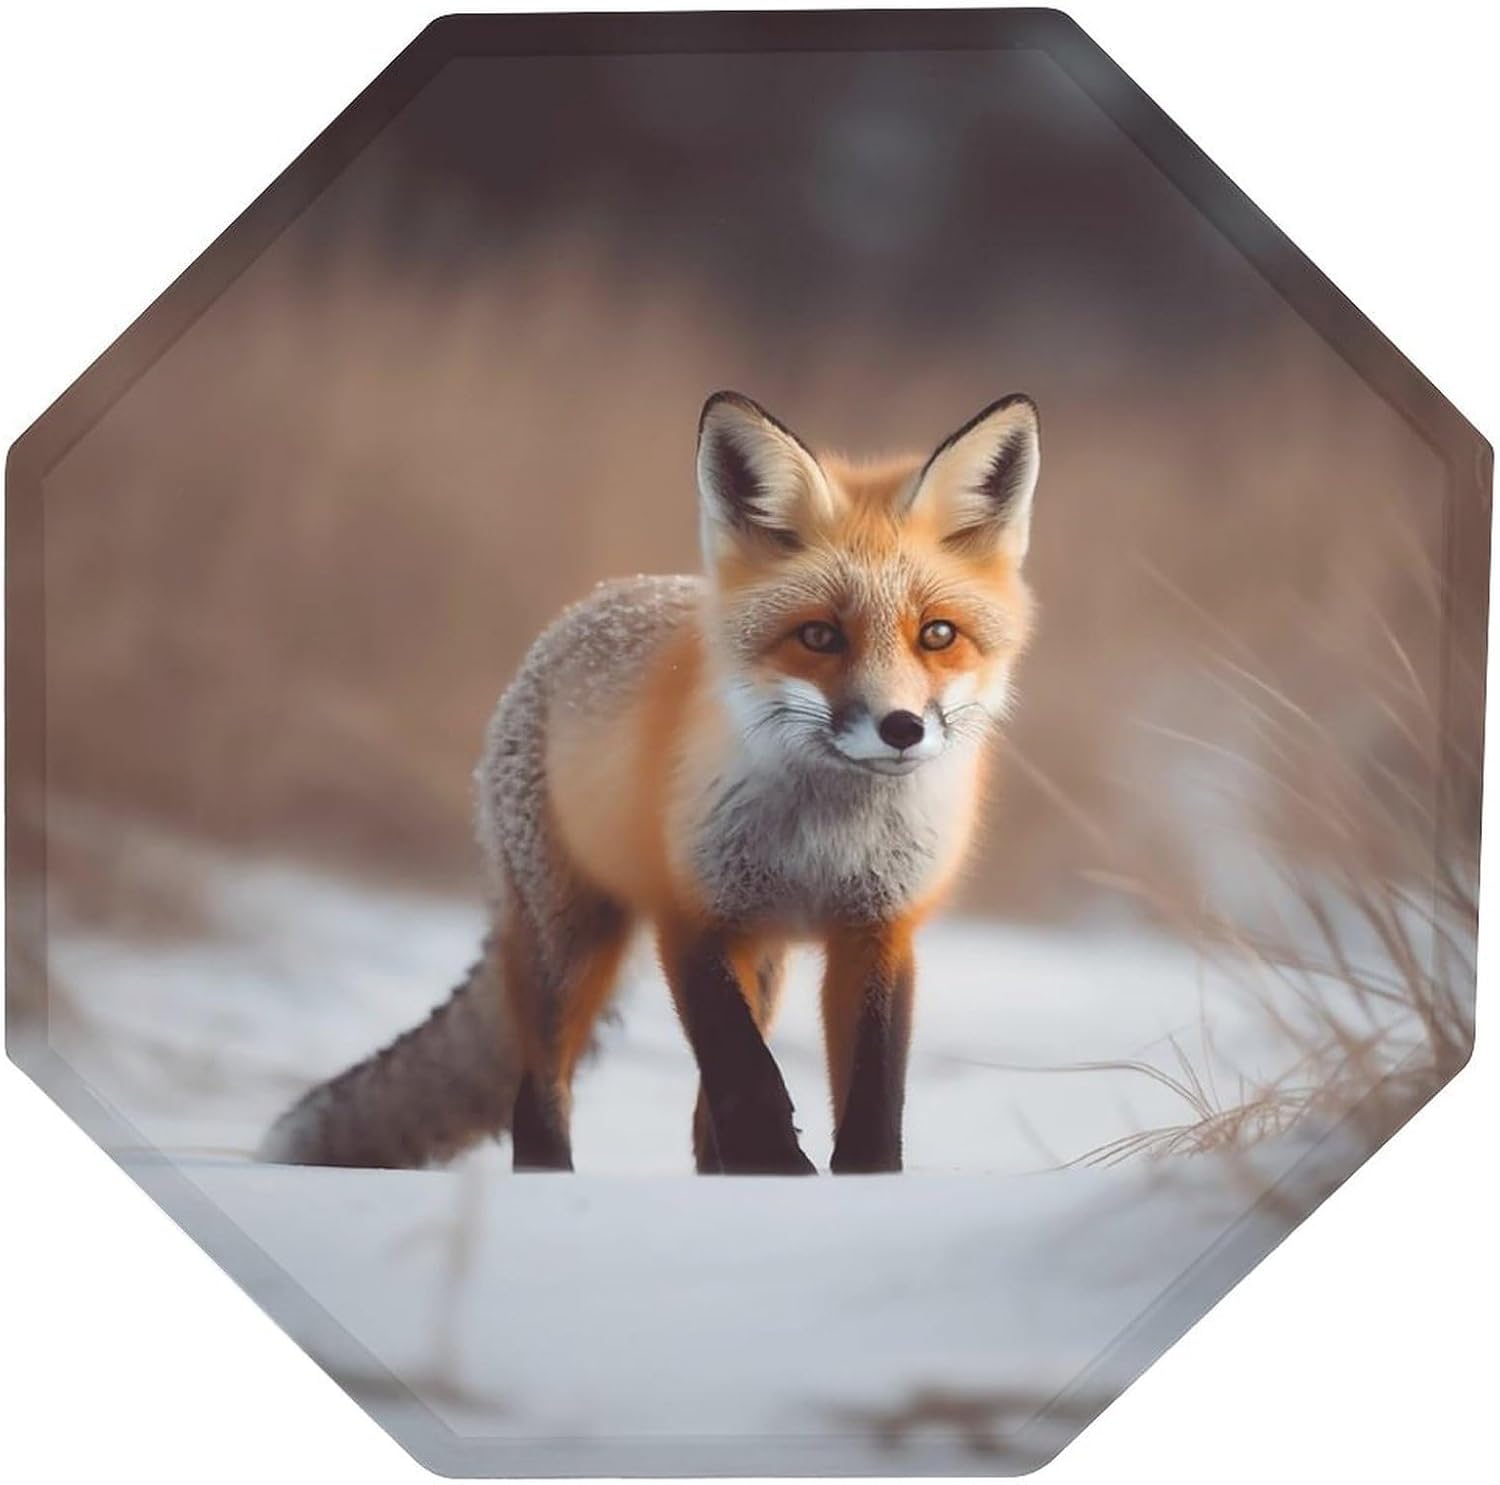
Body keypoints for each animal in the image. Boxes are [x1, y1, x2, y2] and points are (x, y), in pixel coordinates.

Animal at [259, 390, 1041, 1175]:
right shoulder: (691, 915)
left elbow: (873, 1091)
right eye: (820, 637)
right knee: (538, 1093)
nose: (901, 727)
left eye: (937, 635)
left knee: (697, 1118)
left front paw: (857, 1184)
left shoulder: (878, 928)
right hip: (573, 946)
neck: (825, 836)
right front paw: (779, 1173)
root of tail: (587, 608)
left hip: (760, 960)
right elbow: (747, 1078)